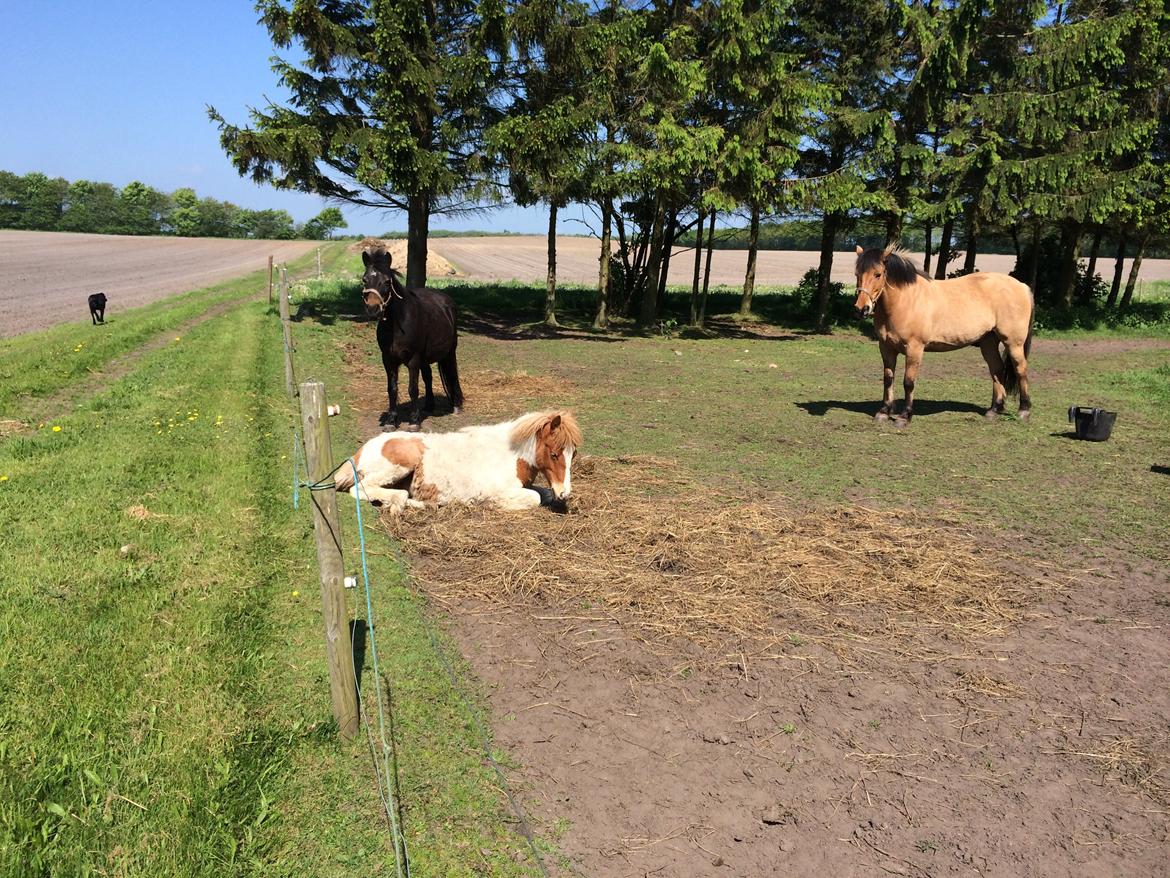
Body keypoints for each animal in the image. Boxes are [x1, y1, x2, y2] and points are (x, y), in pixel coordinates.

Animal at [334, 414, 580, 515]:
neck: (510, 456)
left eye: (573, 455)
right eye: (555, 454)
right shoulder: (501, 492)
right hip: (398, 467)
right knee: (360, 489)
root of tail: (359, 453)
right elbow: (536, 498)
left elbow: (544, 493)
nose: (564, 493)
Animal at [362, 245, 463, 430]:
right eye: (364, 280)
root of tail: (447, 301)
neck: (398, 324)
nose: (373, 309)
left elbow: (413, 389)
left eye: (387, 281)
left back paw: (456, 406)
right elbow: (392, 389)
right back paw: (429, 406)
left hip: (449, 352)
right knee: (428, 376)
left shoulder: (413, 359)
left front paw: (414, 421)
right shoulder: (388, 360)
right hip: (425, 358)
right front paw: (391, 420)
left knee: (451, 374)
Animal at [851, 248, 1034, 426]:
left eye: (878, 274)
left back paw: (1024, 411)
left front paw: (904, 416)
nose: (862, 309)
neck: (905, 301)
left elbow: (908, 382)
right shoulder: (886, 348)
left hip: (1013, 343)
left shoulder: (914, 348)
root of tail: (1022, 286)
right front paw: (883, 412)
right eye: (857, 274)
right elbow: (888, 379)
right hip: (988, 342)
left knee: (1021, 370)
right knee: (997, 370)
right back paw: (994, 410)